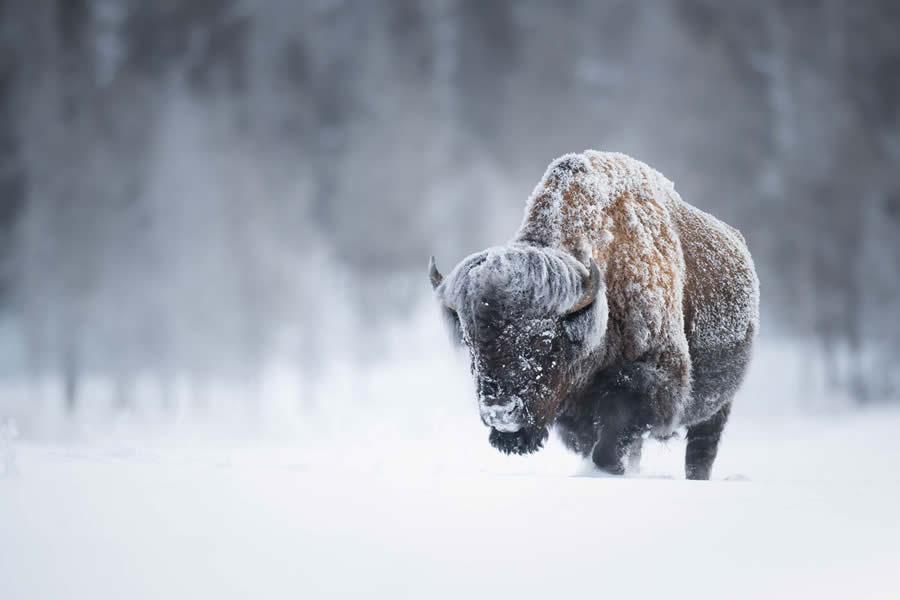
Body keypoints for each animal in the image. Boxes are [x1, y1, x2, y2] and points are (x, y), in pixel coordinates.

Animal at [428, 152, 760, 480]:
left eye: (543, 342)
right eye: (470, 342)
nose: (501, 413)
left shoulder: (650, 378)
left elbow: (609, 446)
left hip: (717, 408)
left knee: (701, 451)